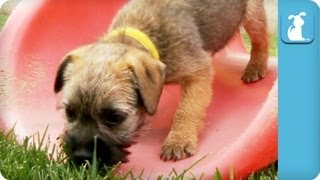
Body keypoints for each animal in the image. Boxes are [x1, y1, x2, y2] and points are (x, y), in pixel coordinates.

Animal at [54, 0, 268, 165]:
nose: (81, 156)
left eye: (114, 117)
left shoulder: (198, 72)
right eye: (69, 113)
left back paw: (256, 66)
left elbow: (187, 108)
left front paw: (179, 140)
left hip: (253, 14)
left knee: (260, 39)